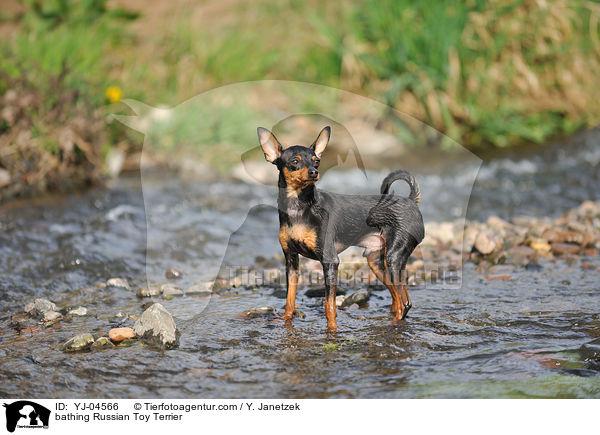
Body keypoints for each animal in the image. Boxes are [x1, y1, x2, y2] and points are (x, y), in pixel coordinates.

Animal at [258, 125, 426, 330]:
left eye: (317, 161)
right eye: (294, 161)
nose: (314, 172)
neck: (298, 207)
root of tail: (411, 201)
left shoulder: (330, 261)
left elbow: (329, 304)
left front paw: (332, 330)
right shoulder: (291, 262)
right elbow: (290, 300)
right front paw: (285, 321)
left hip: (394, 258)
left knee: (405, 303)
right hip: (376, 262)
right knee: (398, 297)